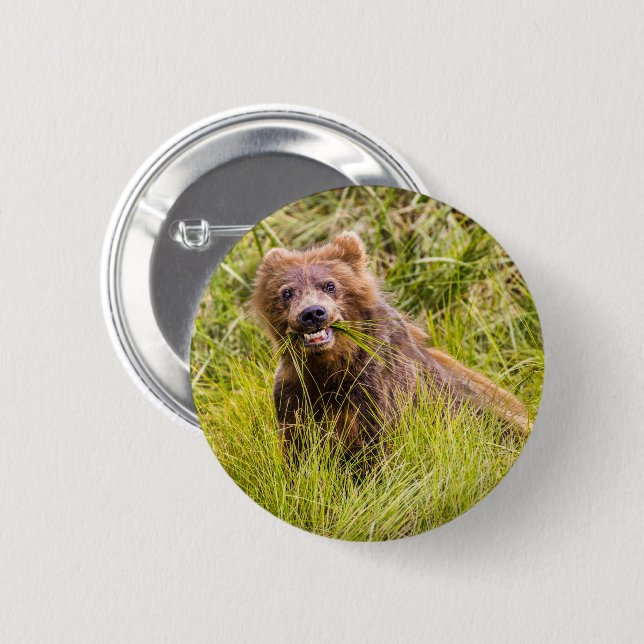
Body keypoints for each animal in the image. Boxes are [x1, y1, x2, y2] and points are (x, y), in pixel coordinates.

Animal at [251, 231, 530, 459]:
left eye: (330, 285)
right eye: (287, 292)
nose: (312, 313)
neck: (330, 366)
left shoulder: (375, 386)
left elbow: (376, 446)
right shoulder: (296, 389)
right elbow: (296, 447)